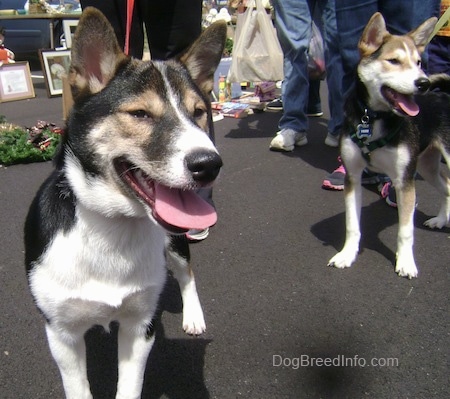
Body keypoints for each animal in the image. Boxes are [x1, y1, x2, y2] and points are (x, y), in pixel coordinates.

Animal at [24, 7, 227, 399]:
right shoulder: (62, 333)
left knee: (186, 273)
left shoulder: (139, 326)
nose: (209, 164)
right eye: (140, 114)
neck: (112, 225)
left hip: (176, 242)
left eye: (199, 112)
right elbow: (78, 387)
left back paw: (194, 315)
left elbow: (130, 385)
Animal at [326, 13, 450, 282]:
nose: (423, 82)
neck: (373, 119)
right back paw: (440, 220)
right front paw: (347, 254)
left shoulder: (404, 181)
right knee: (447, 187)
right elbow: (352, 225)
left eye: (418, 62)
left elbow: (405, 231)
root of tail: (445, 96)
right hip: (426, 166)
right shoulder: (353, 177)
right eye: (393, 61)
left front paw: (405, 263)